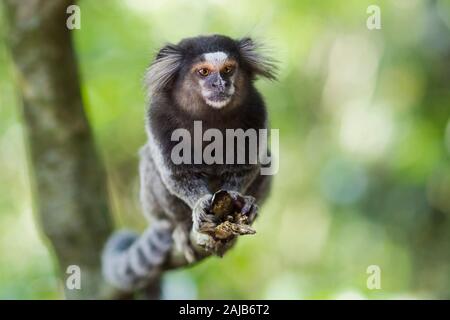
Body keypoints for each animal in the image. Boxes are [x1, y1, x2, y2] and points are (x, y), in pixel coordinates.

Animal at [103, 34, 276, 290]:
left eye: (228, 69)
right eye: (203, 72)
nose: (220, 84)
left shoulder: (256, 110)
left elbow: (246, 166)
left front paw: (239, 198)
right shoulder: (158, 116)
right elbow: (176, 173)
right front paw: (198, 204)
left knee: (268, 158)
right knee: (151, 163)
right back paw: (181, 228)